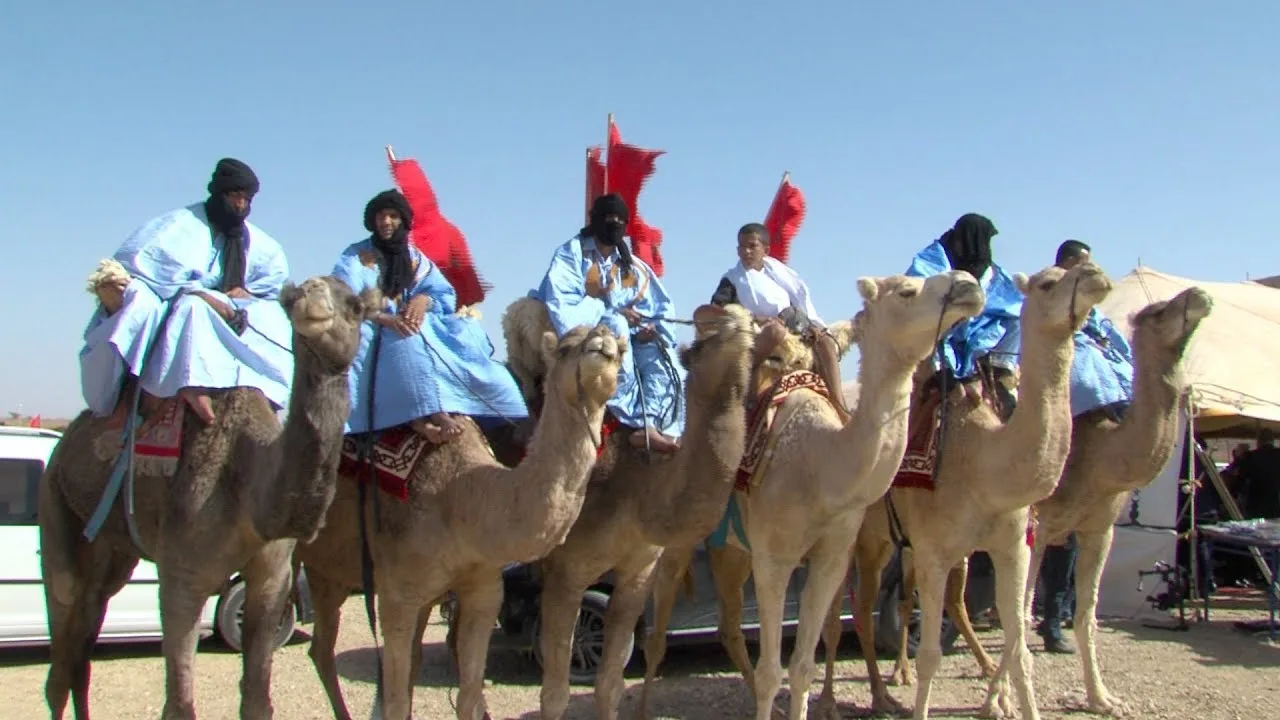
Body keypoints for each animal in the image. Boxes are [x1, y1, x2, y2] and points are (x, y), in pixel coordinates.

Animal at [40, 271, 371, 712]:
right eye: (293, 299)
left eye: (355, 305)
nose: (312, 301)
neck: (248, 488)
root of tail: (63, 444)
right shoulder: (182, 577)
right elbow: (179, 704)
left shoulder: (273, 578)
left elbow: (257, 700)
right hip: (54, 497)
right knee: (61, 630)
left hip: (112, 549)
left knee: (84, 638)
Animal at [291, 319, 629, 717]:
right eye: (565, 348)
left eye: (621, 351)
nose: (602, 339)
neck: (461, 498)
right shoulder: (396, 594)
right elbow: (393, 700)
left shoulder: (483, 589)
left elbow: (467, 696)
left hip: (331, 572)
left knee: (331, 650)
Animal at [839, 260, 1111, 717]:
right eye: (1049, 283)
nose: (1095, 273)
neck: (985, 466)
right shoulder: (935, 552)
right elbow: (931, 654)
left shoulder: (1012, 546)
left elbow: (1020, 652)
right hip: (868, 540)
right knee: (857, 608)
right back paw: (871, 695)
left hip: (906, 547)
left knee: (906, 600)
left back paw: (897, 677)